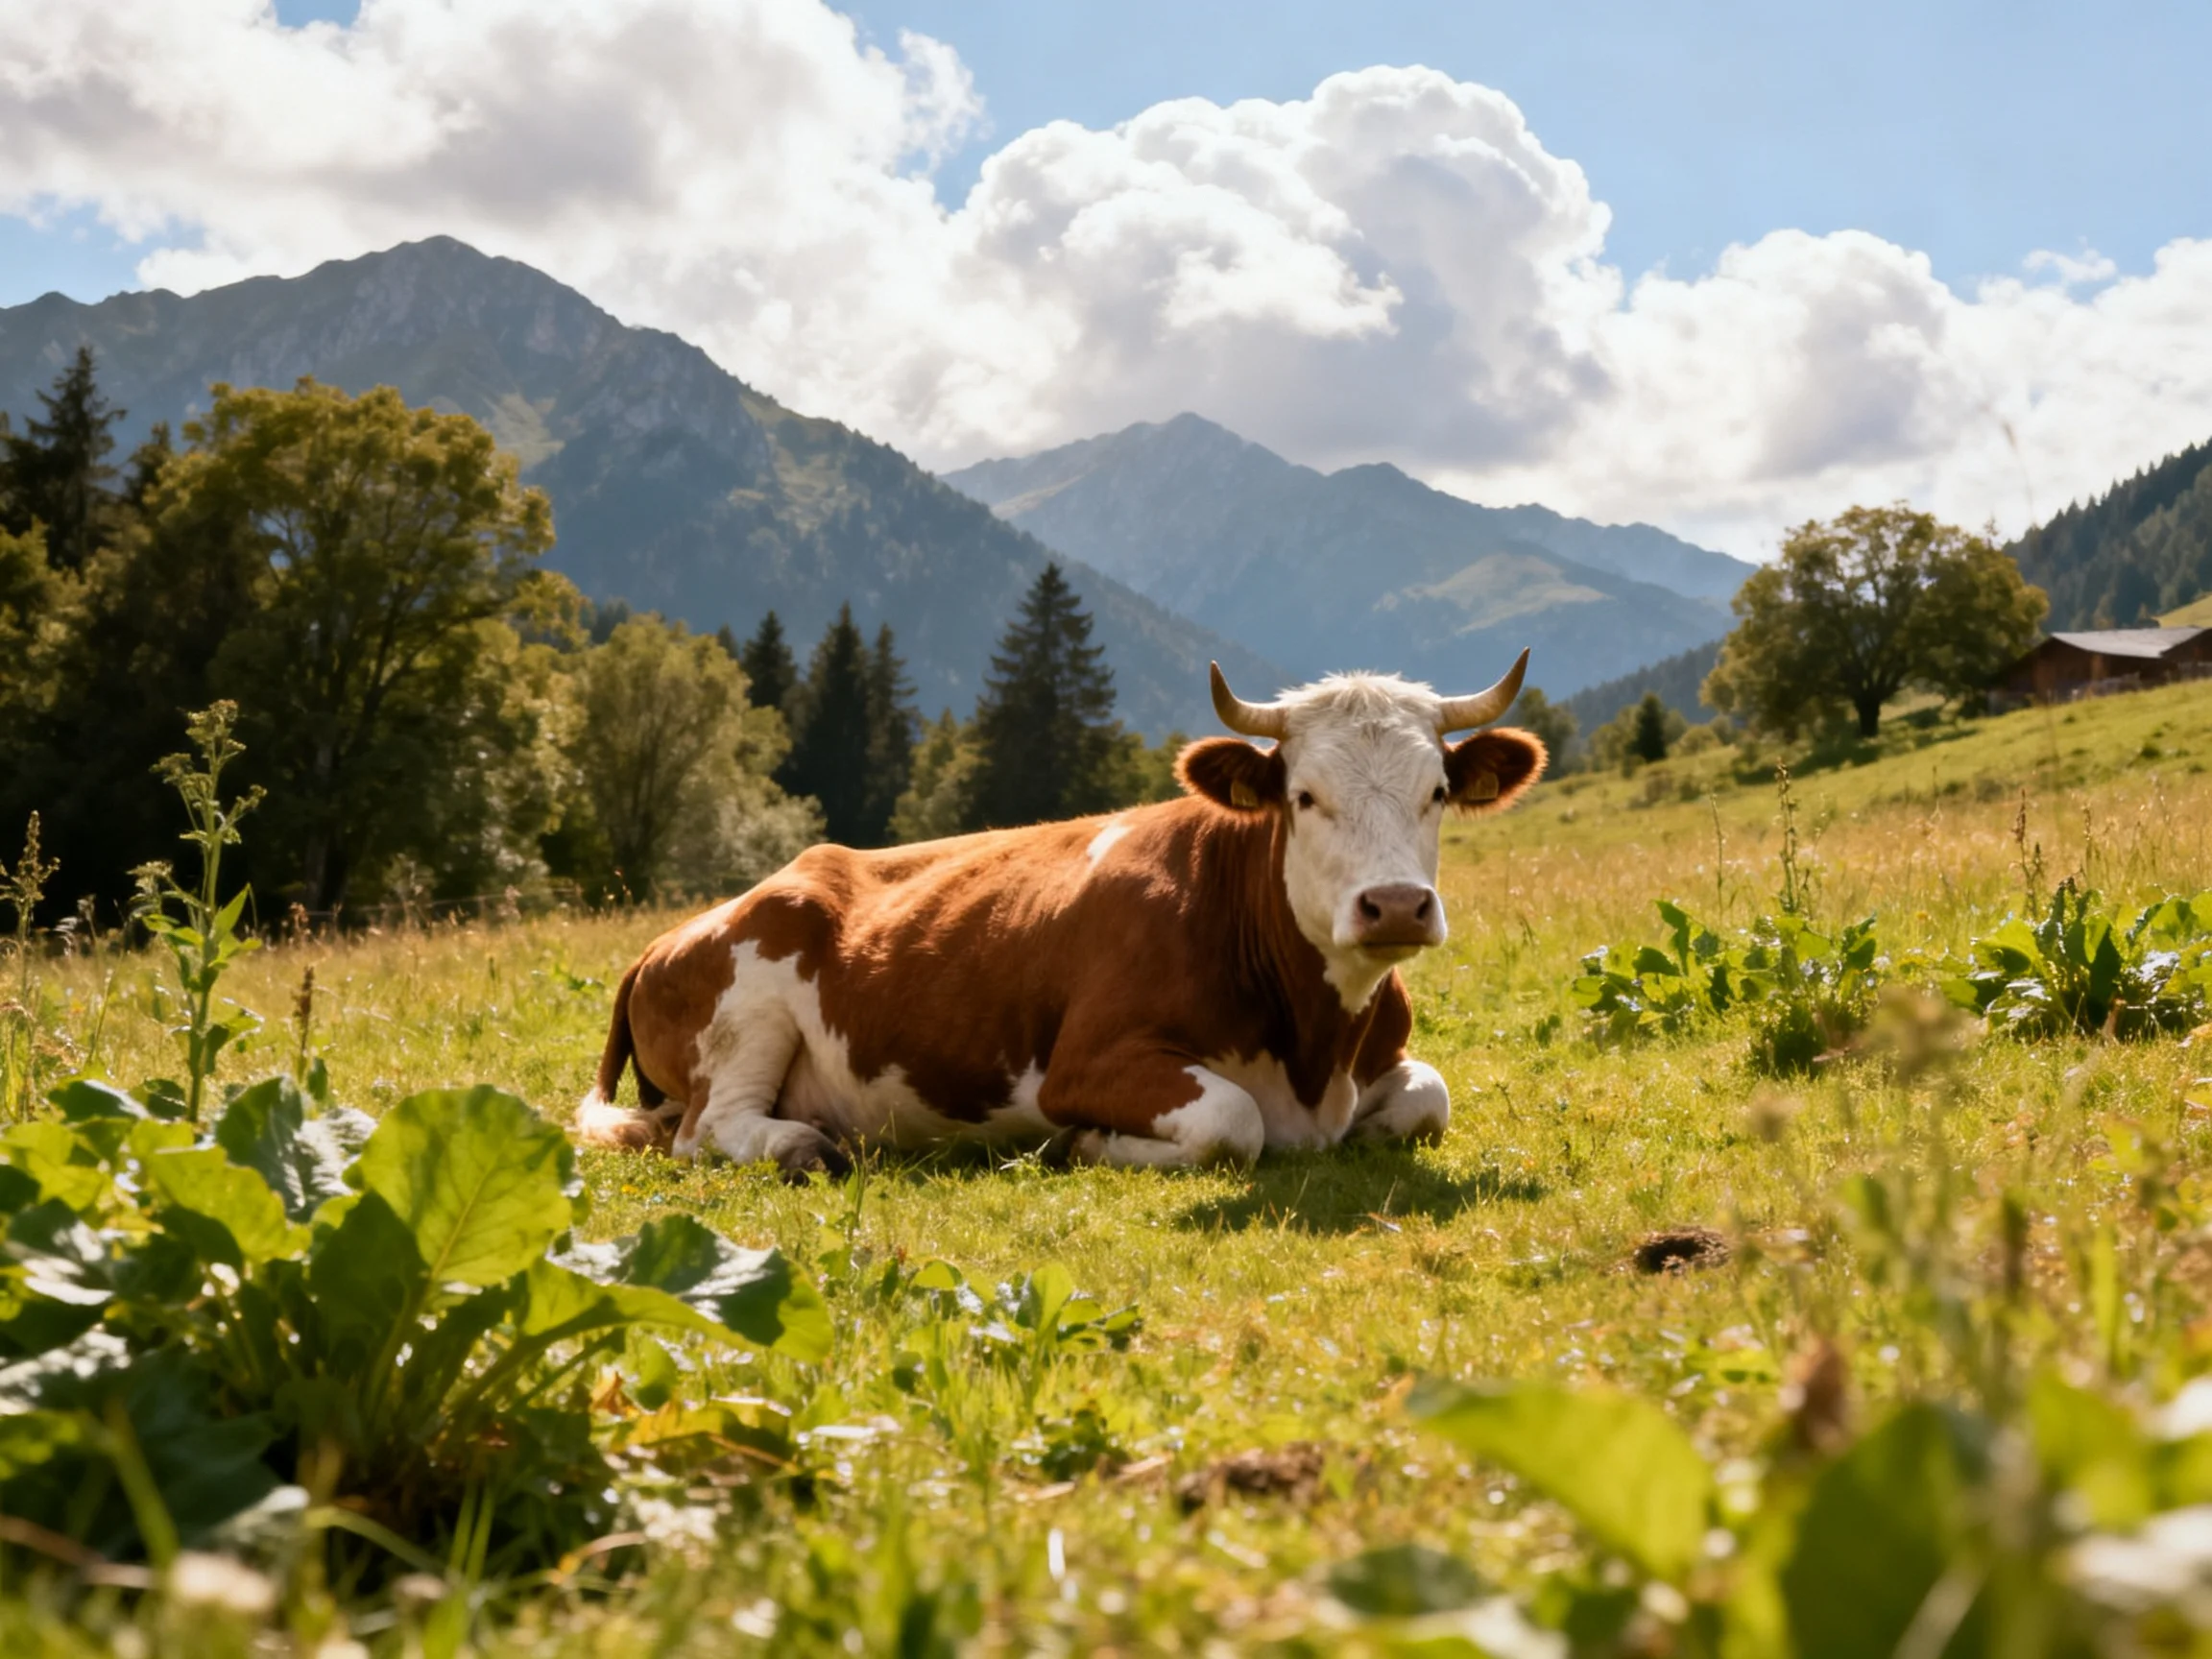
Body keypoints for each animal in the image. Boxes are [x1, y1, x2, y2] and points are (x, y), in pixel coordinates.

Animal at [574, 653, 1547, 1176]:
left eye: (1437, 792)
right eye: (1304, 797)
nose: (1395, 905)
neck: (1315, 1049)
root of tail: (664, 939)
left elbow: (1428, 1097)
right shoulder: (1087, 1061)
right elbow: (1232, 1123)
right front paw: (1087, 1144)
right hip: (750, 1002)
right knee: (708, 1131)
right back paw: (804, 1144)